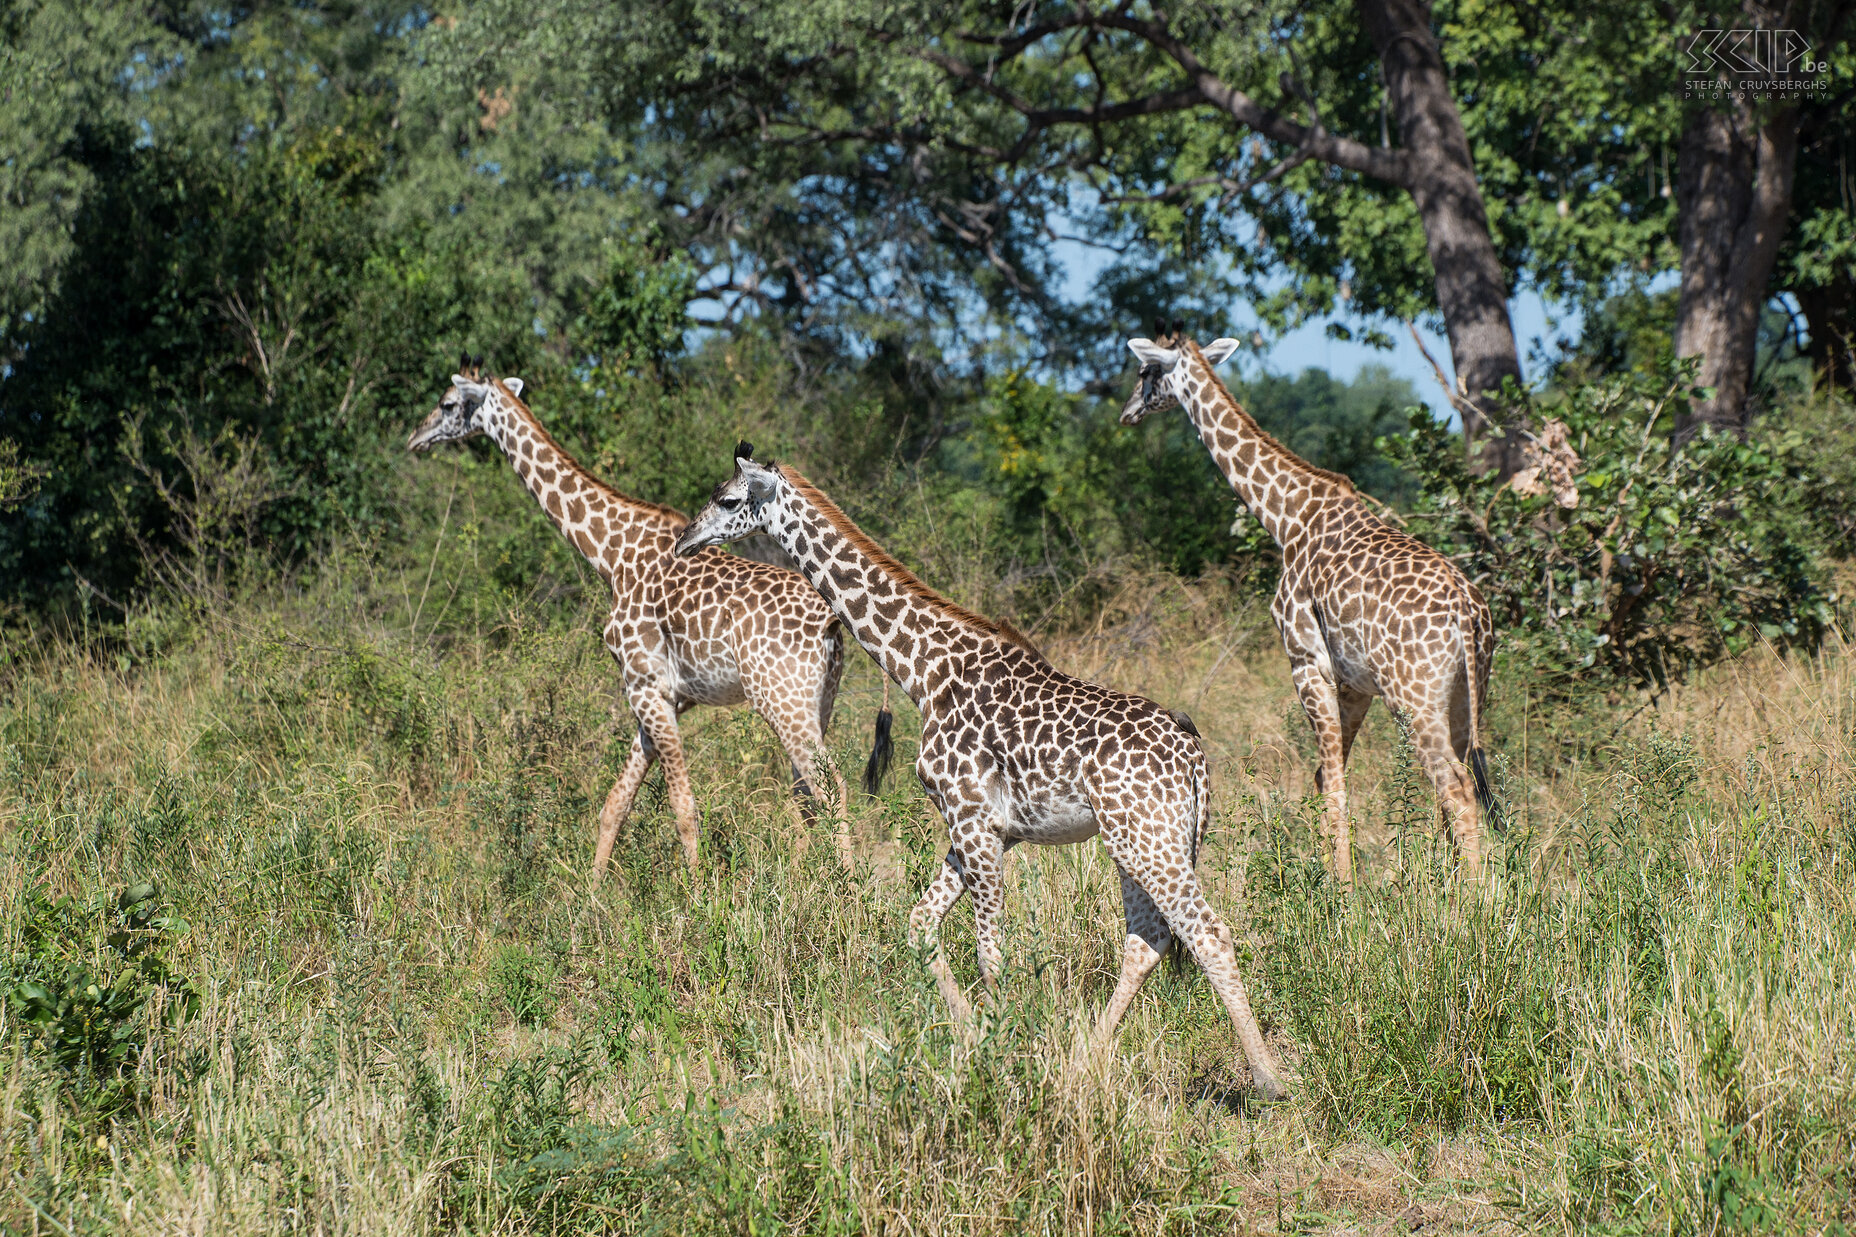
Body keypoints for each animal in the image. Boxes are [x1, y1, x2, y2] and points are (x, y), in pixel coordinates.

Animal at [410, 356, 887, 872]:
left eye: (447, 403)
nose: (415, 438)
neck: (609, 554)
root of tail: (832, 623)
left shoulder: (646, 686)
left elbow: (682, 806)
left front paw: (699, 890)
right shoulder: (659, 696)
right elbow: (616, 803)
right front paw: (593, 891)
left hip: (781, 699)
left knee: (830, 787)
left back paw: (844, 886)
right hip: (819, 700)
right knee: (806, 794)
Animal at [671, 443, 1291, 1099]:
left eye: (728, 500)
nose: (686, 540)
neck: (924, 671)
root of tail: (1195, 755)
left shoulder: (972, 820)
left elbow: (990, 954)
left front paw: (1002, 1058)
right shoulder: (983, 827)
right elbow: (921, 923)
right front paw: (975, 1037)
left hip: (1149, 838)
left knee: (1207, 933)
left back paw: (1269, 1080)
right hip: (1138, 838)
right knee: (1147, 939)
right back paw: (1085, 1060)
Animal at [1113, 323, 1492, 880]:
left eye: (1145, 371)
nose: (1127, 412)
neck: (1285, 516)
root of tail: (1468, 615)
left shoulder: (1305, 659)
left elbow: (1331, 778)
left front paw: (1342, 888)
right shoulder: (1355, 684)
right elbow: (1325, 774)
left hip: (1414, 695)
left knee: (1455, 786)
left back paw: (1477, 896)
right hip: (1467, 693)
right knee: (1467, 779)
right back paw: (1465, 884)